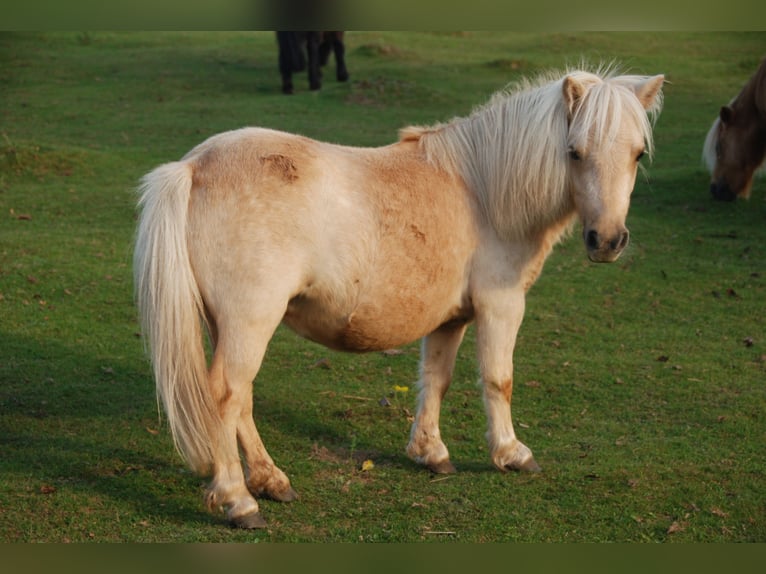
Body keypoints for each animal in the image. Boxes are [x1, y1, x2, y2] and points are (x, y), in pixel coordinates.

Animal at [133, 66, 664, 529]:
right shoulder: (501, 305)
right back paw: (240, 501)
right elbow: (499, 380)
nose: (607, 241)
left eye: (638, 154)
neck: (483, 191)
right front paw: (511, 453)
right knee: (225, 395)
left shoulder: (451, 319)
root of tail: (193, 167)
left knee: (239, 400)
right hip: (249, 323)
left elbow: (436, 379)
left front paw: (431, 453)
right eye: (574, 152)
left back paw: (271, 481)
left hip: (229, 326)